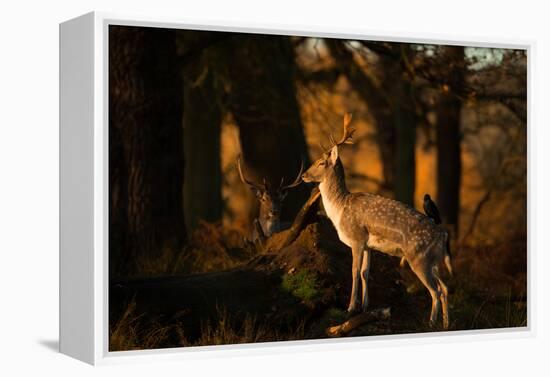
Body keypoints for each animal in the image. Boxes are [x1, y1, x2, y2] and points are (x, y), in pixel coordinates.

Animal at [302, 113, 452, 328]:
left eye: (321, 163)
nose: (304, 175)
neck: (340, 209)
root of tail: (443, 234)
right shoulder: (368, 245)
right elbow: (365, 272)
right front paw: (365, 307)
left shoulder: (356, 238)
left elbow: (354, 271)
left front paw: (350, 308)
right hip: (433, 260)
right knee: (446, 288)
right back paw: (446, 324)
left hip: (419, 257)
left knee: (436, 291)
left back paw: (431, 323)